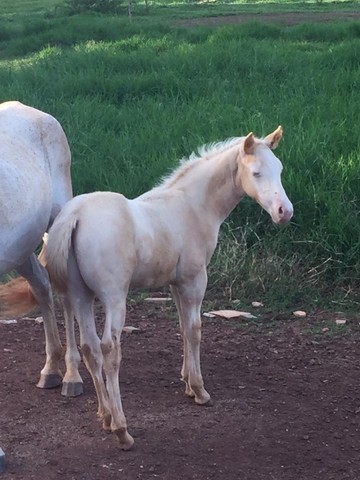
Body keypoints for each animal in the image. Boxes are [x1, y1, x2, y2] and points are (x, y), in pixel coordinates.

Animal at [45, 125, 292, 448]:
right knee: (110, 349)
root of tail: (75, 216)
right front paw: (199, 390)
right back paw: (122, 428)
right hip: (113, 298)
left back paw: (106, 416)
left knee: (90, 348)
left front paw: (186, 382)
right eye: (257, 173)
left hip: (80, 295)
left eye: (280, 169)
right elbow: (195, 329)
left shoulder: (177, 283)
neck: (192, 205)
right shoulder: (195, 279)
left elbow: (182, 328)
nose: (284, 212)